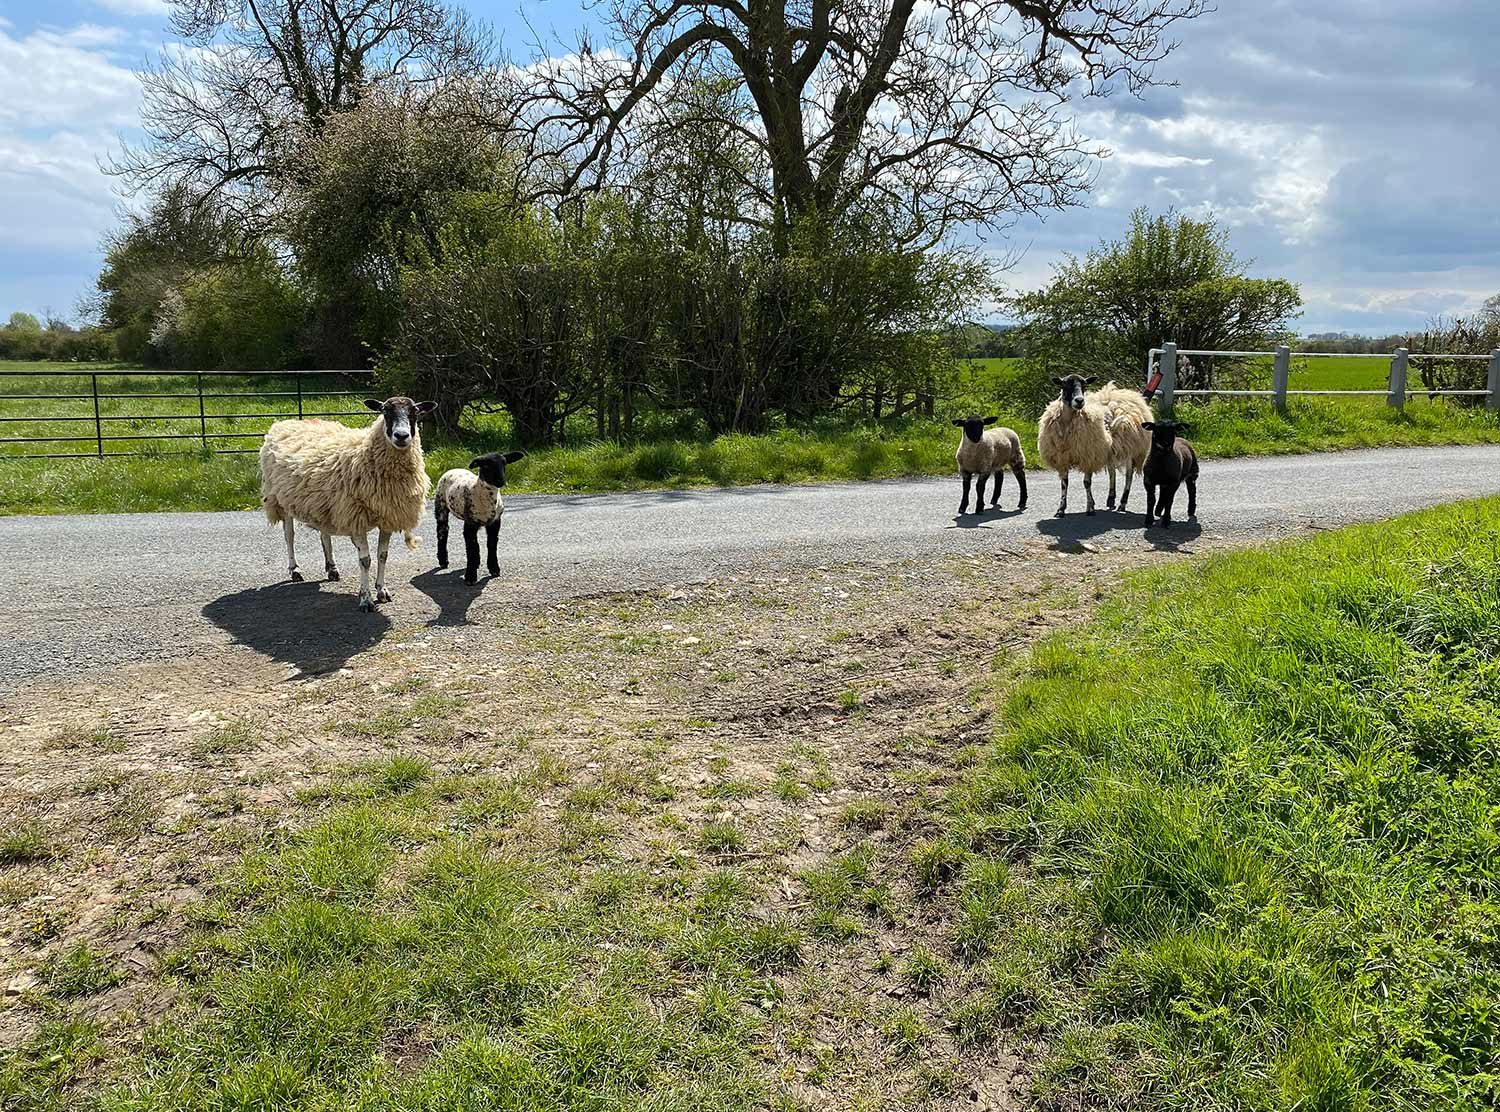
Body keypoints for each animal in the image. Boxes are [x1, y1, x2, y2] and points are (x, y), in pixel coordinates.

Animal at [256, 396, 435, 612]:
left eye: (415, 412)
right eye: (385, 411)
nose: (401, 436)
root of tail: (285, 422)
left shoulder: (387, 516)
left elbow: (382, 555)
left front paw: (382, 590)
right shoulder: (356, 517)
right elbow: (365, 560)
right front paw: (366, 599)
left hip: (323, 504)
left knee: (324, 535)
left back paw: (332, 568)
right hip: (280, 499)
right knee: (289, 536)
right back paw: (294, 570)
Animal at [1038, 370, 1122, 513]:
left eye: (1084, 385)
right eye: (1064, 385)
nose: (1079, 401)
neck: (1067, 424)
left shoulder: (1088, 456)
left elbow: (1087, 483)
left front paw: (1090, 508)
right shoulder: (1062, 458)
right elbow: (1064, 483)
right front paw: (1061, 508)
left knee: (1112, 471)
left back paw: (1112, 498)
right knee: (1112, 470)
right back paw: (1110, 498)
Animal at [1092, 376, 1146, 507]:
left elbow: (1127, 475)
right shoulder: (1108, 453)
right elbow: (1112, 473)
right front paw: (1111, 497)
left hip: (1131, 450)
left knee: (1129, 475)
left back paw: (1123, 500)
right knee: (1114, 472)